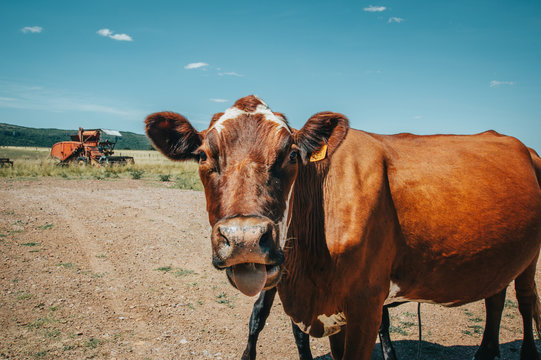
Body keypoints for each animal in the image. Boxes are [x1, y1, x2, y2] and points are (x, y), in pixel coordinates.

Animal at [146, 95, 540, 360]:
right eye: (202, 155)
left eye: (291, 155)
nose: (245, 239)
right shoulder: (331, 310)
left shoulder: (366, 304)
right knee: (495, 297)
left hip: (531, 258)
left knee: (524, 302)